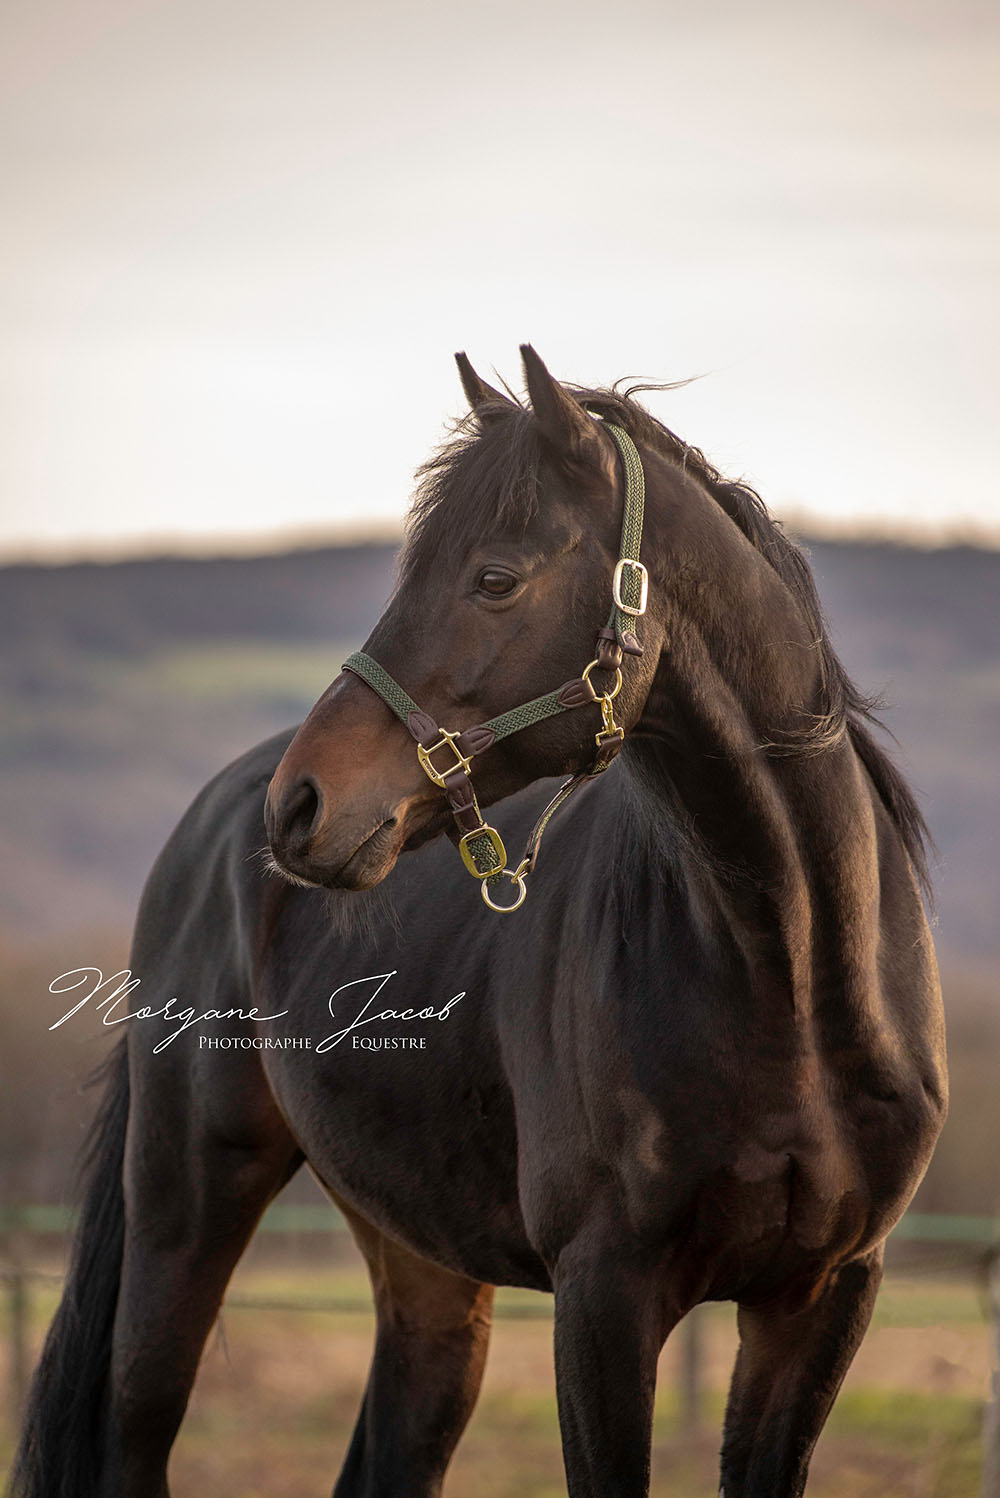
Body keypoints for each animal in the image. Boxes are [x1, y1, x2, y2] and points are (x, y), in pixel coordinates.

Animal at [13, 343, 946, 1498]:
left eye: (495, 578)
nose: (301, 804)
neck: (790, 974)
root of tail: (212, 823)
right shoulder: (605, 1295)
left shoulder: (819, 1299)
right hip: (183, 1208)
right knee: (134, 1433)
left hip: (423, 1269)